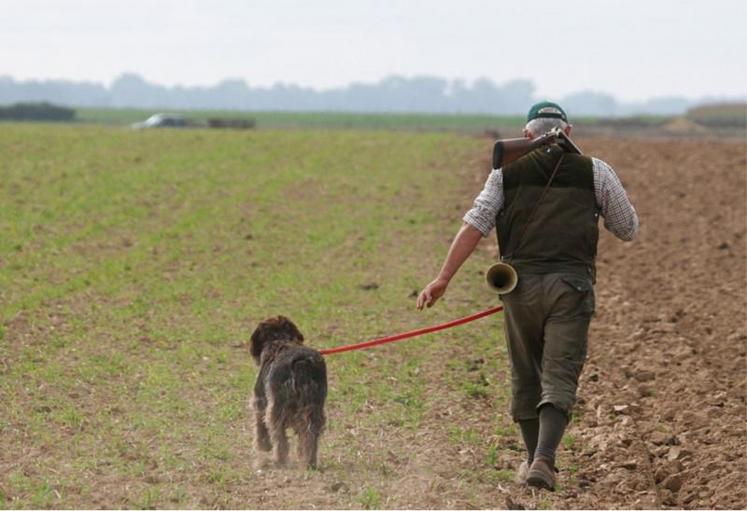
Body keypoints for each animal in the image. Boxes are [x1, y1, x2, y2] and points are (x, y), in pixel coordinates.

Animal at [251, 318, 328, 470]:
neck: (278, 340)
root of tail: (302, 361)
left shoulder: (260, 402)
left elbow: (260, 427)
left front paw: (264, 446)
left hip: (276, 409)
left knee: (280, 438)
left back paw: (279, 460)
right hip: (314, 408)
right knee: (310, 435)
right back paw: (309, 461)